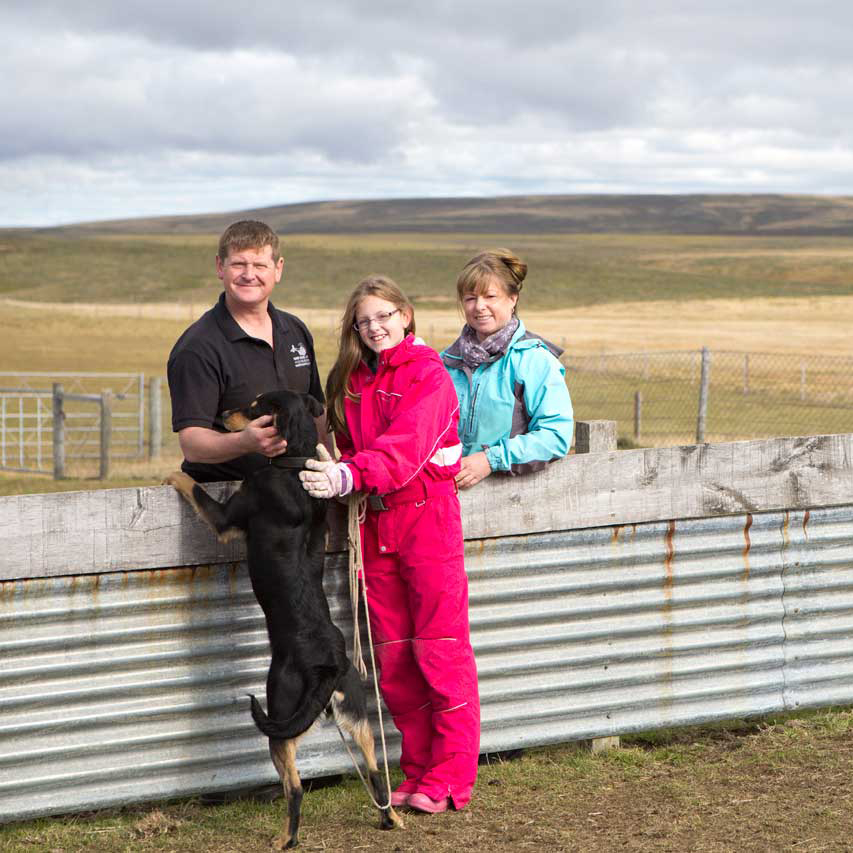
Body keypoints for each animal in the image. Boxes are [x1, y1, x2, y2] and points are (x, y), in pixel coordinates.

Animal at [165, 390, 402, 848]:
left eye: (256, 405)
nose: (223, 414)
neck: (294, 465)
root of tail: (327, 665)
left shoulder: (227, 518)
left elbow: (195, 489)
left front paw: (172, 473)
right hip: (357, 714)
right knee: (375, 769)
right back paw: (392, 819)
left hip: (280, 714)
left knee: (294, 788)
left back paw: (285, 839)